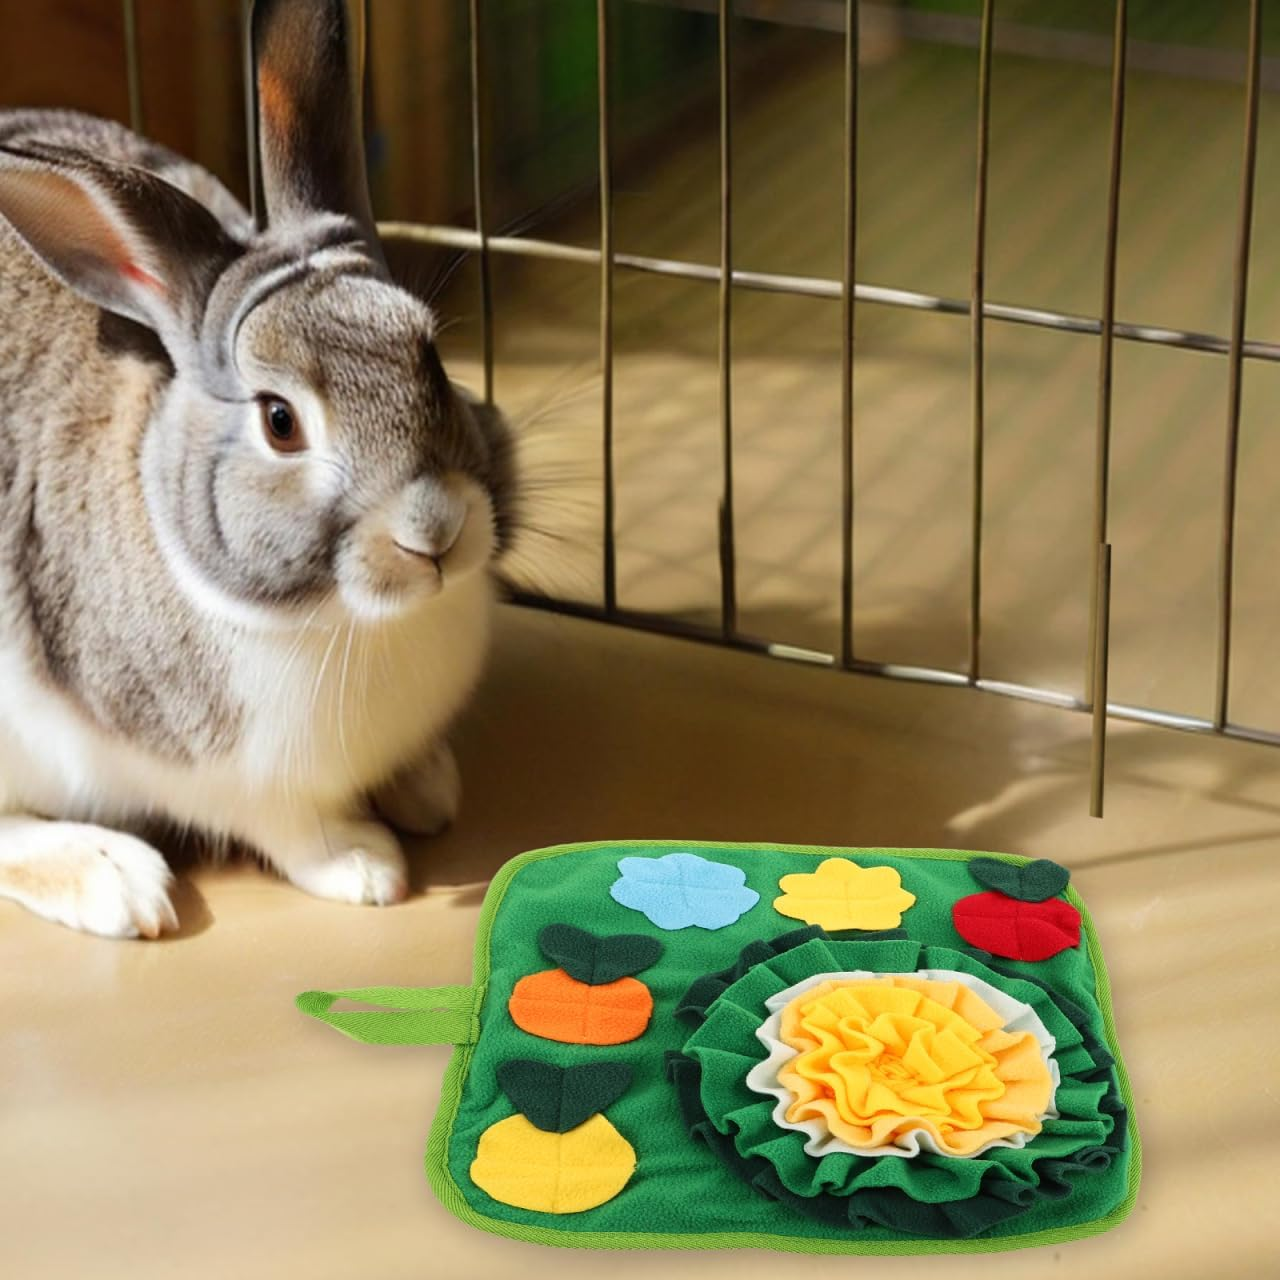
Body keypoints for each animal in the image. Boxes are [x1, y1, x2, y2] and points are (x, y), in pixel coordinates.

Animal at [0, 0, 514, 938]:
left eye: (428, 354)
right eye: (280, 421)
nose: (434, 533)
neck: (343, 618)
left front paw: (430, 789)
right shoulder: (223, 777)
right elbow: (294, 828)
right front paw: (367, 867)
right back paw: (116, 882)